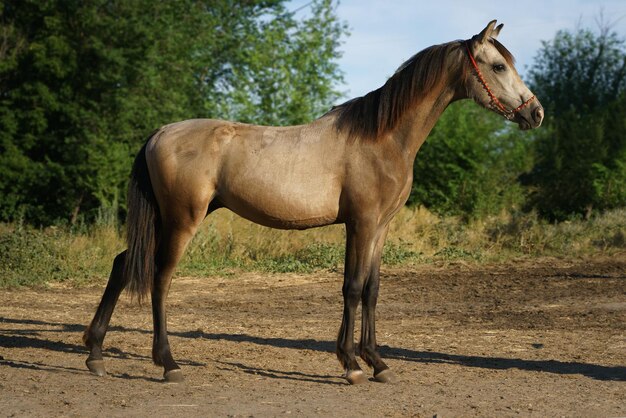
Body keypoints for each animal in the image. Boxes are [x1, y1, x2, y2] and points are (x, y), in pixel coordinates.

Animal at [83, 19, 540, 386]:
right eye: (499, 66)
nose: (534, 113)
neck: (382, 137)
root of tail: (160, 132)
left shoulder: (381, 227)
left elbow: (372, 290)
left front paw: (377, 362)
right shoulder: (361, 223)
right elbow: (352, 288)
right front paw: (351, 365)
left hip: (166, 219)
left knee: (123, 264)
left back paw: (95, 353)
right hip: (182, 220)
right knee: (160, 279)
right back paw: (168, 364)